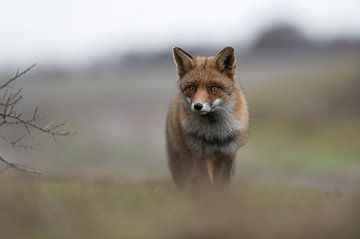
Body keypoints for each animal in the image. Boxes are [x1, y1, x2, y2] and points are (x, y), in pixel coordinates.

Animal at [165, 47, 248, 189]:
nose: (198, 106)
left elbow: (223, 183)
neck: (214, 134)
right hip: (183, 163)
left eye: (214, 88)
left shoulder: (228, 154)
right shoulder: (199, 154)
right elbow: (206, 183)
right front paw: (208, 195)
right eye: (192, 88)